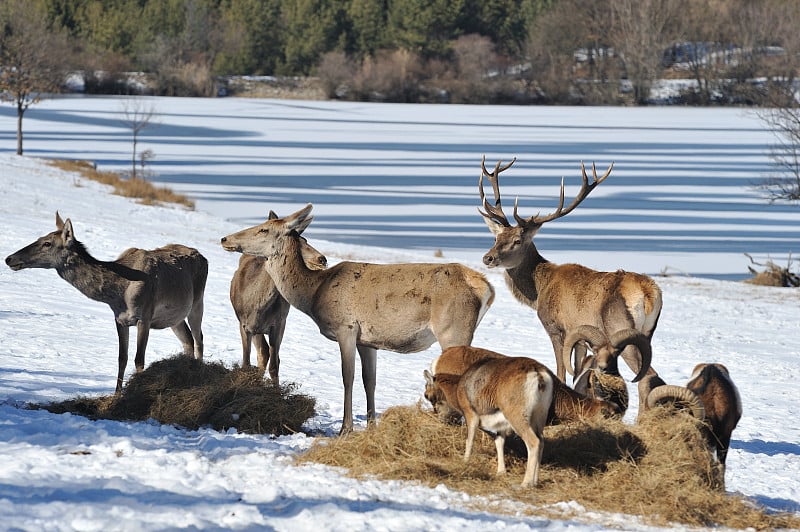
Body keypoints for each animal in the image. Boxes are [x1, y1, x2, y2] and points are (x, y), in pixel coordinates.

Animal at [4, 214, 208, 392]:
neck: (119, 293)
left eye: (47, 243)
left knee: (199, 339)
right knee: (187, 340)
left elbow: (139, 359)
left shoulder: (145, 316)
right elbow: (122, 358)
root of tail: (203, 256)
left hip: (197, 302)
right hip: (174, 317)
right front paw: (116, 395)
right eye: (39, 238)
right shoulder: (120, 319)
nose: (9, 258)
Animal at [220, 206, 494, 434]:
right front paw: (372, 426)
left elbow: (347, 377)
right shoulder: (368, 340)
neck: (314, 292)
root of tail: (485, 287)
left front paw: (345, 428)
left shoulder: (346, 327)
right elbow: (369, 380)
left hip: (452, 328)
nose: (225, 239)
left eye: (263, 229)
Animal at [476, 156, 664, 414]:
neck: (538, 291)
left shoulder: (557, 328)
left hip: (620, 328)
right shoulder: (581, 337)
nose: (488, 258)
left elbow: (561, 372)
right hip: (647, 333)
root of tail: (648, 293)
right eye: (496, 237)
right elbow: (577, 374)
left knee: (647, 377)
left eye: (517, 240)